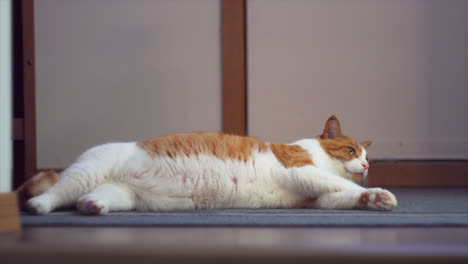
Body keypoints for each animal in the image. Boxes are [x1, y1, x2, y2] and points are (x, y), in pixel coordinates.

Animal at [20, 115, 396, 214]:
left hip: (123, 196)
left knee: (89, 199)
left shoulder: (317, 196)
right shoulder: (301, 170)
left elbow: (342, 195)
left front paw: (374, 198)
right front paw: (378, 191)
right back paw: (39, 205)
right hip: (87, 172)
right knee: (55, 193)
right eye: (350, 150)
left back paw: (92, 207)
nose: (365, 166)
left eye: (367, 157)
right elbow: (341, 185)